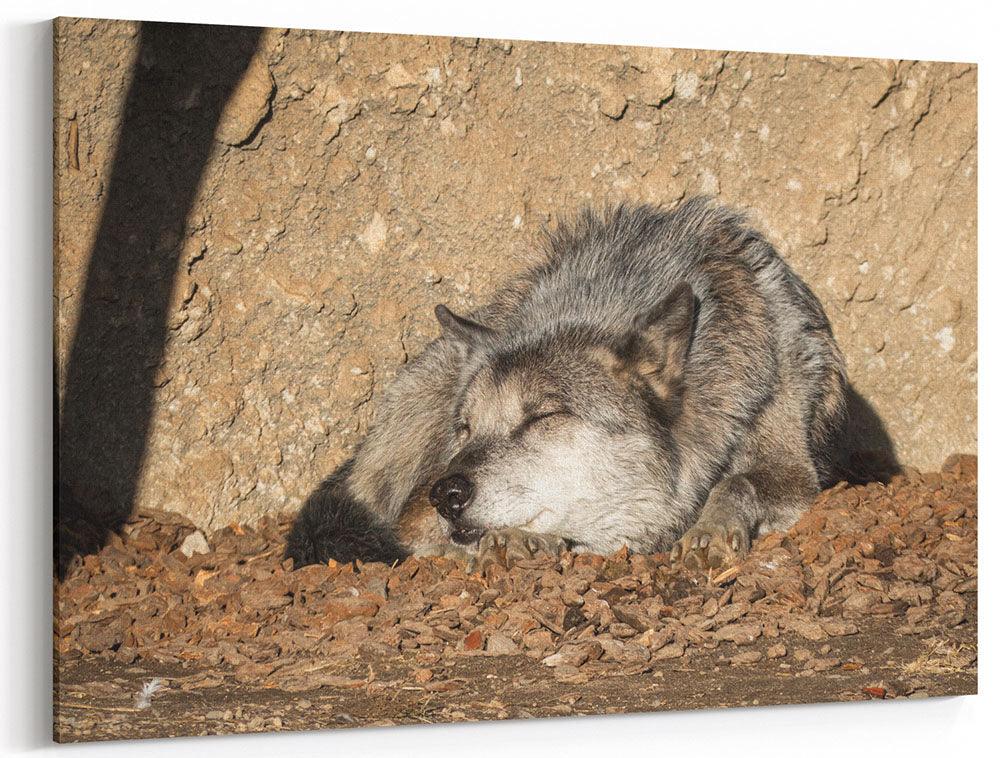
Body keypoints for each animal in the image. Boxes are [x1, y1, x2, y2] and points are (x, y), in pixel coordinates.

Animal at [288, 199, 852, 572]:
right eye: (465, 428)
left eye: (543, 417)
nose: (447, 493)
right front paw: (517, 542)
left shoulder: (791, 469)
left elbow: (738, 482)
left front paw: (711, 528)